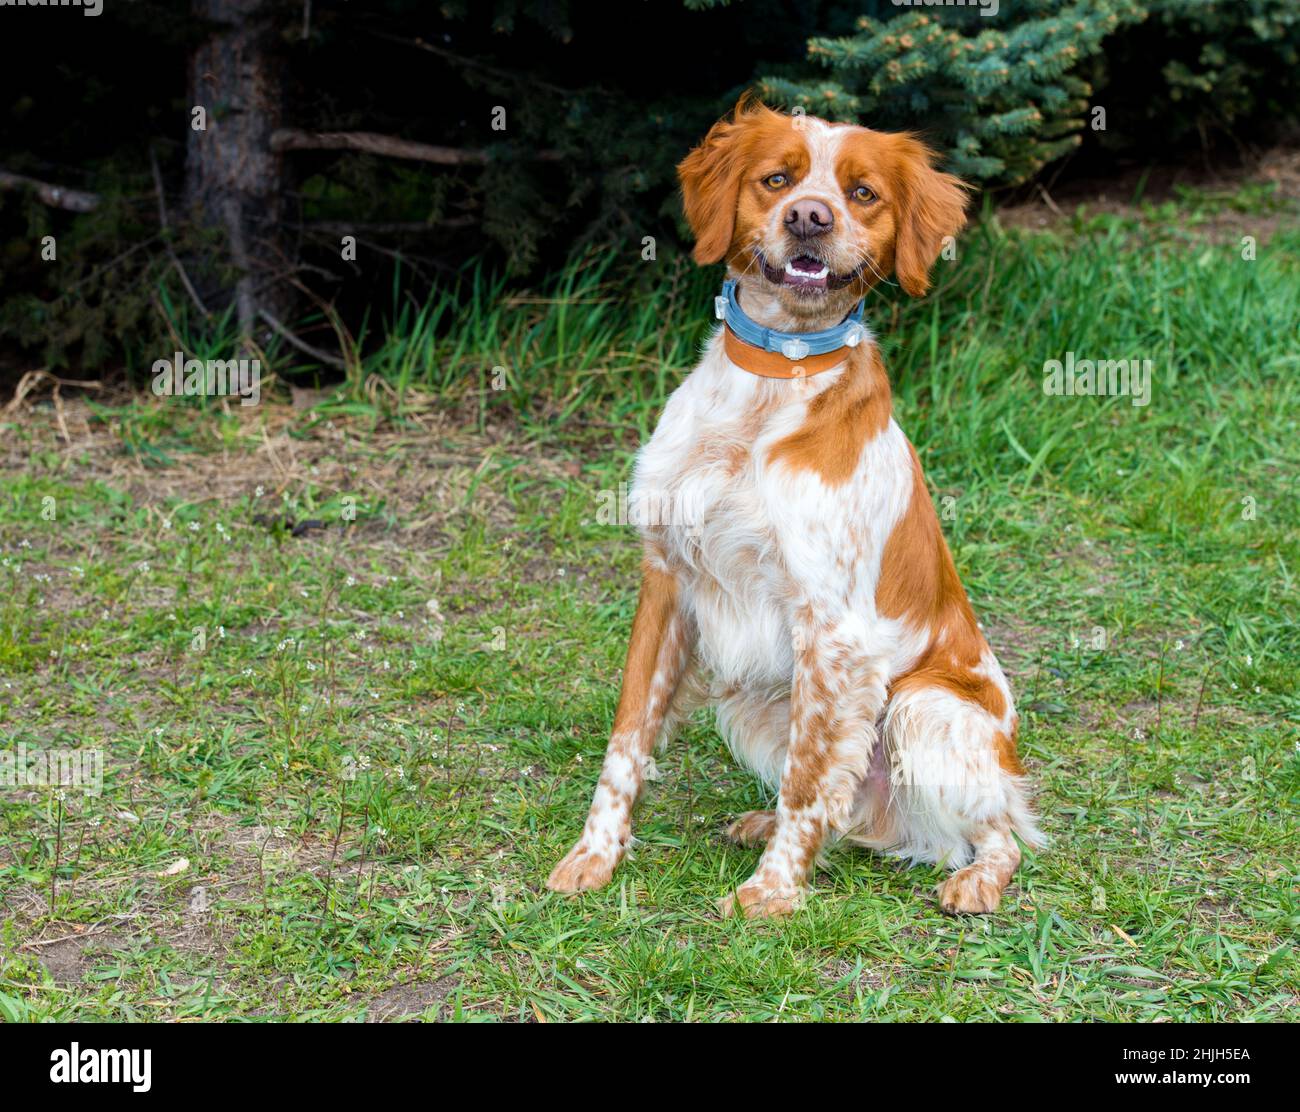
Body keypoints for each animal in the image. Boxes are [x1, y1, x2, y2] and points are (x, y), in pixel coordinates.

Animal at [543, 95, 1040, 915]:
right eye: (777, 179)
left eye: (863, 193)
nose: (810, 217)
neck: (775, 378)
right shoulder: (667, 582)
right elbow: (627, 740)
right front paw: (594, 856)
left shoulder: (832, 630)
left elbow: (810, 781)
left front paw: (771, 894)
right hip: (750, 699)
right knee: (852, 812)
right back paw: (763, 823)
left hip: (922, 708)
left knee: (997, 832)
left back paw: (974, 880)